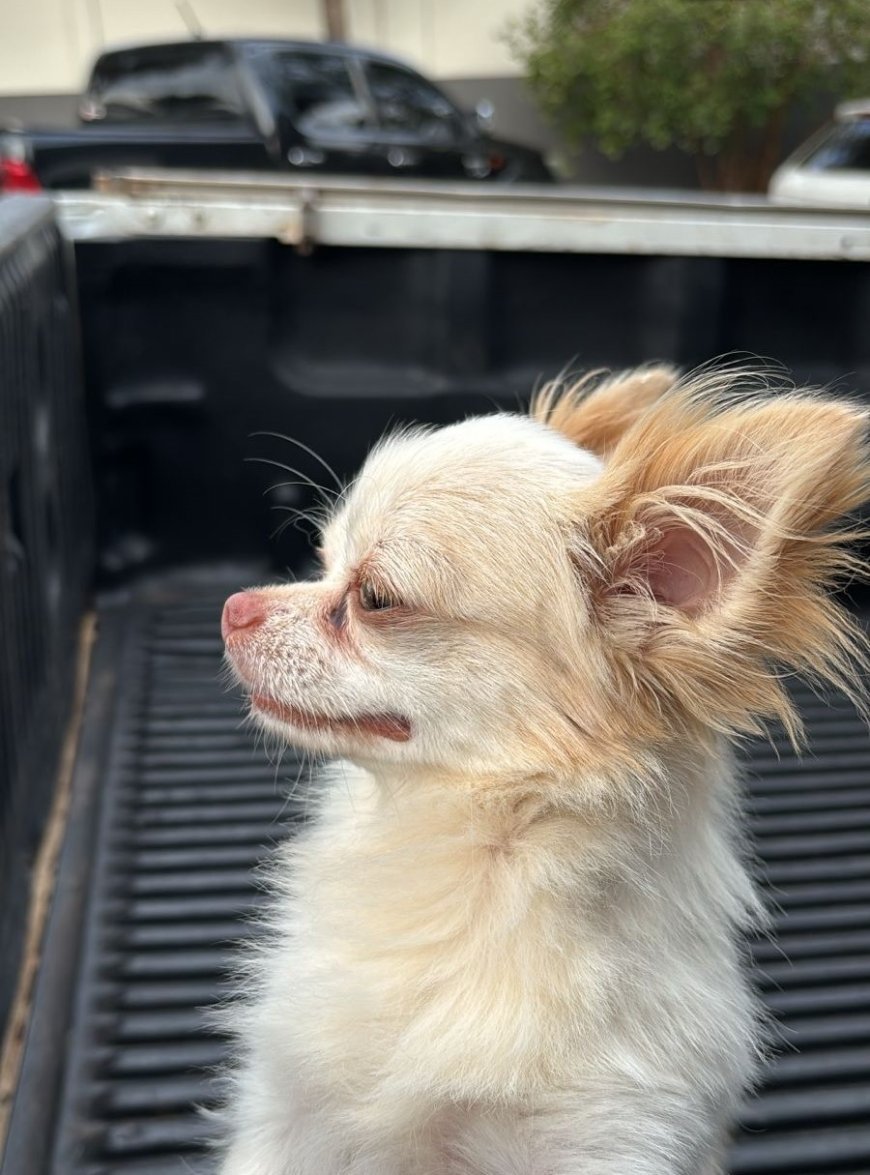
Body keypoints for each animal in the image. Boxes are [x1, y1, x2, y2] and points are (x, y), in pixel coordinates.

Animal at [218, 366, 869, 1175]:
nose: (234, 607)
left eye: (374, 598)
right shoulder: (286, 1117)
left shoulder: (610, 1136)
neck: (468, 854)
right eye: (321, 558)